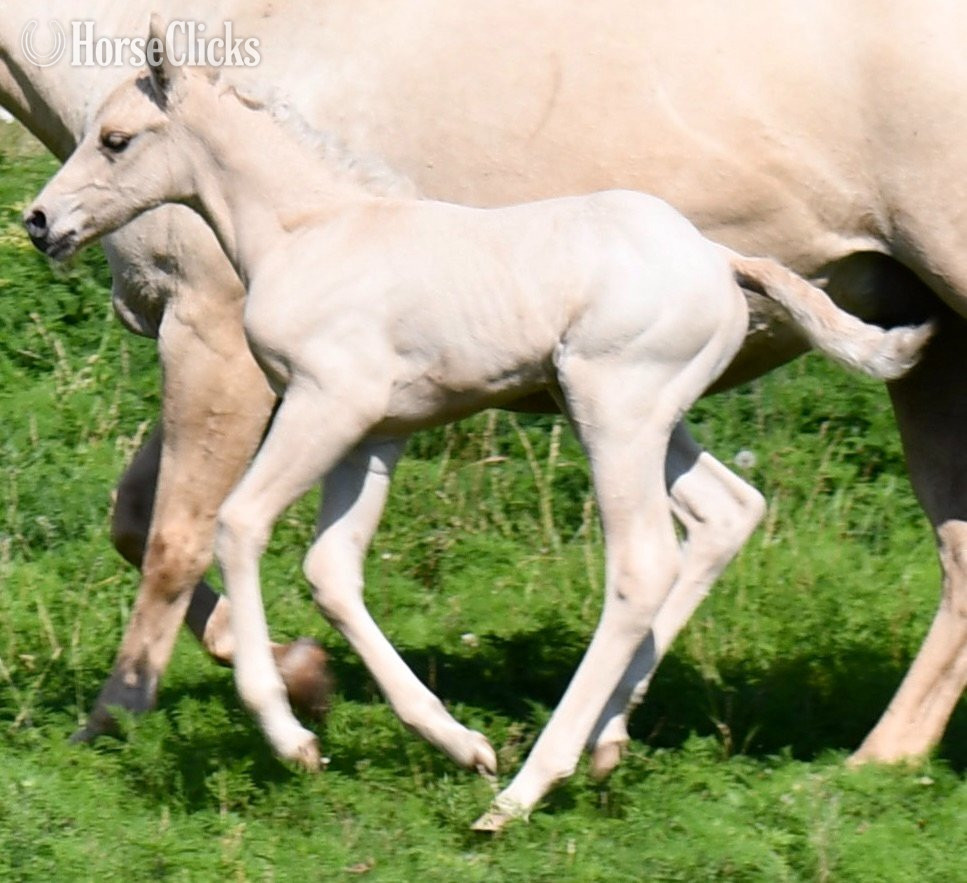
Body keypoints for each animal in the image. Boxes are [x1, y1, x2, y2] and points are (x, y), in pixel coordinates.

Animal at [4, 0, 967, 780]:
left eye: (116, 140)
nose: (40, 222)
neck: (315, 221)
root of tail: (719, 260)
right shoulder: (358, 421)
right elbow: (211, 538)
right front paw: (333, 689)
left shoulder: (228, 348)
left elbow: (191, 532)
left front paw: (139, 718)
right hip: (828, 379)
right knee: (779, 522)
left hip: (628, 409)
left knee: (653, 560)